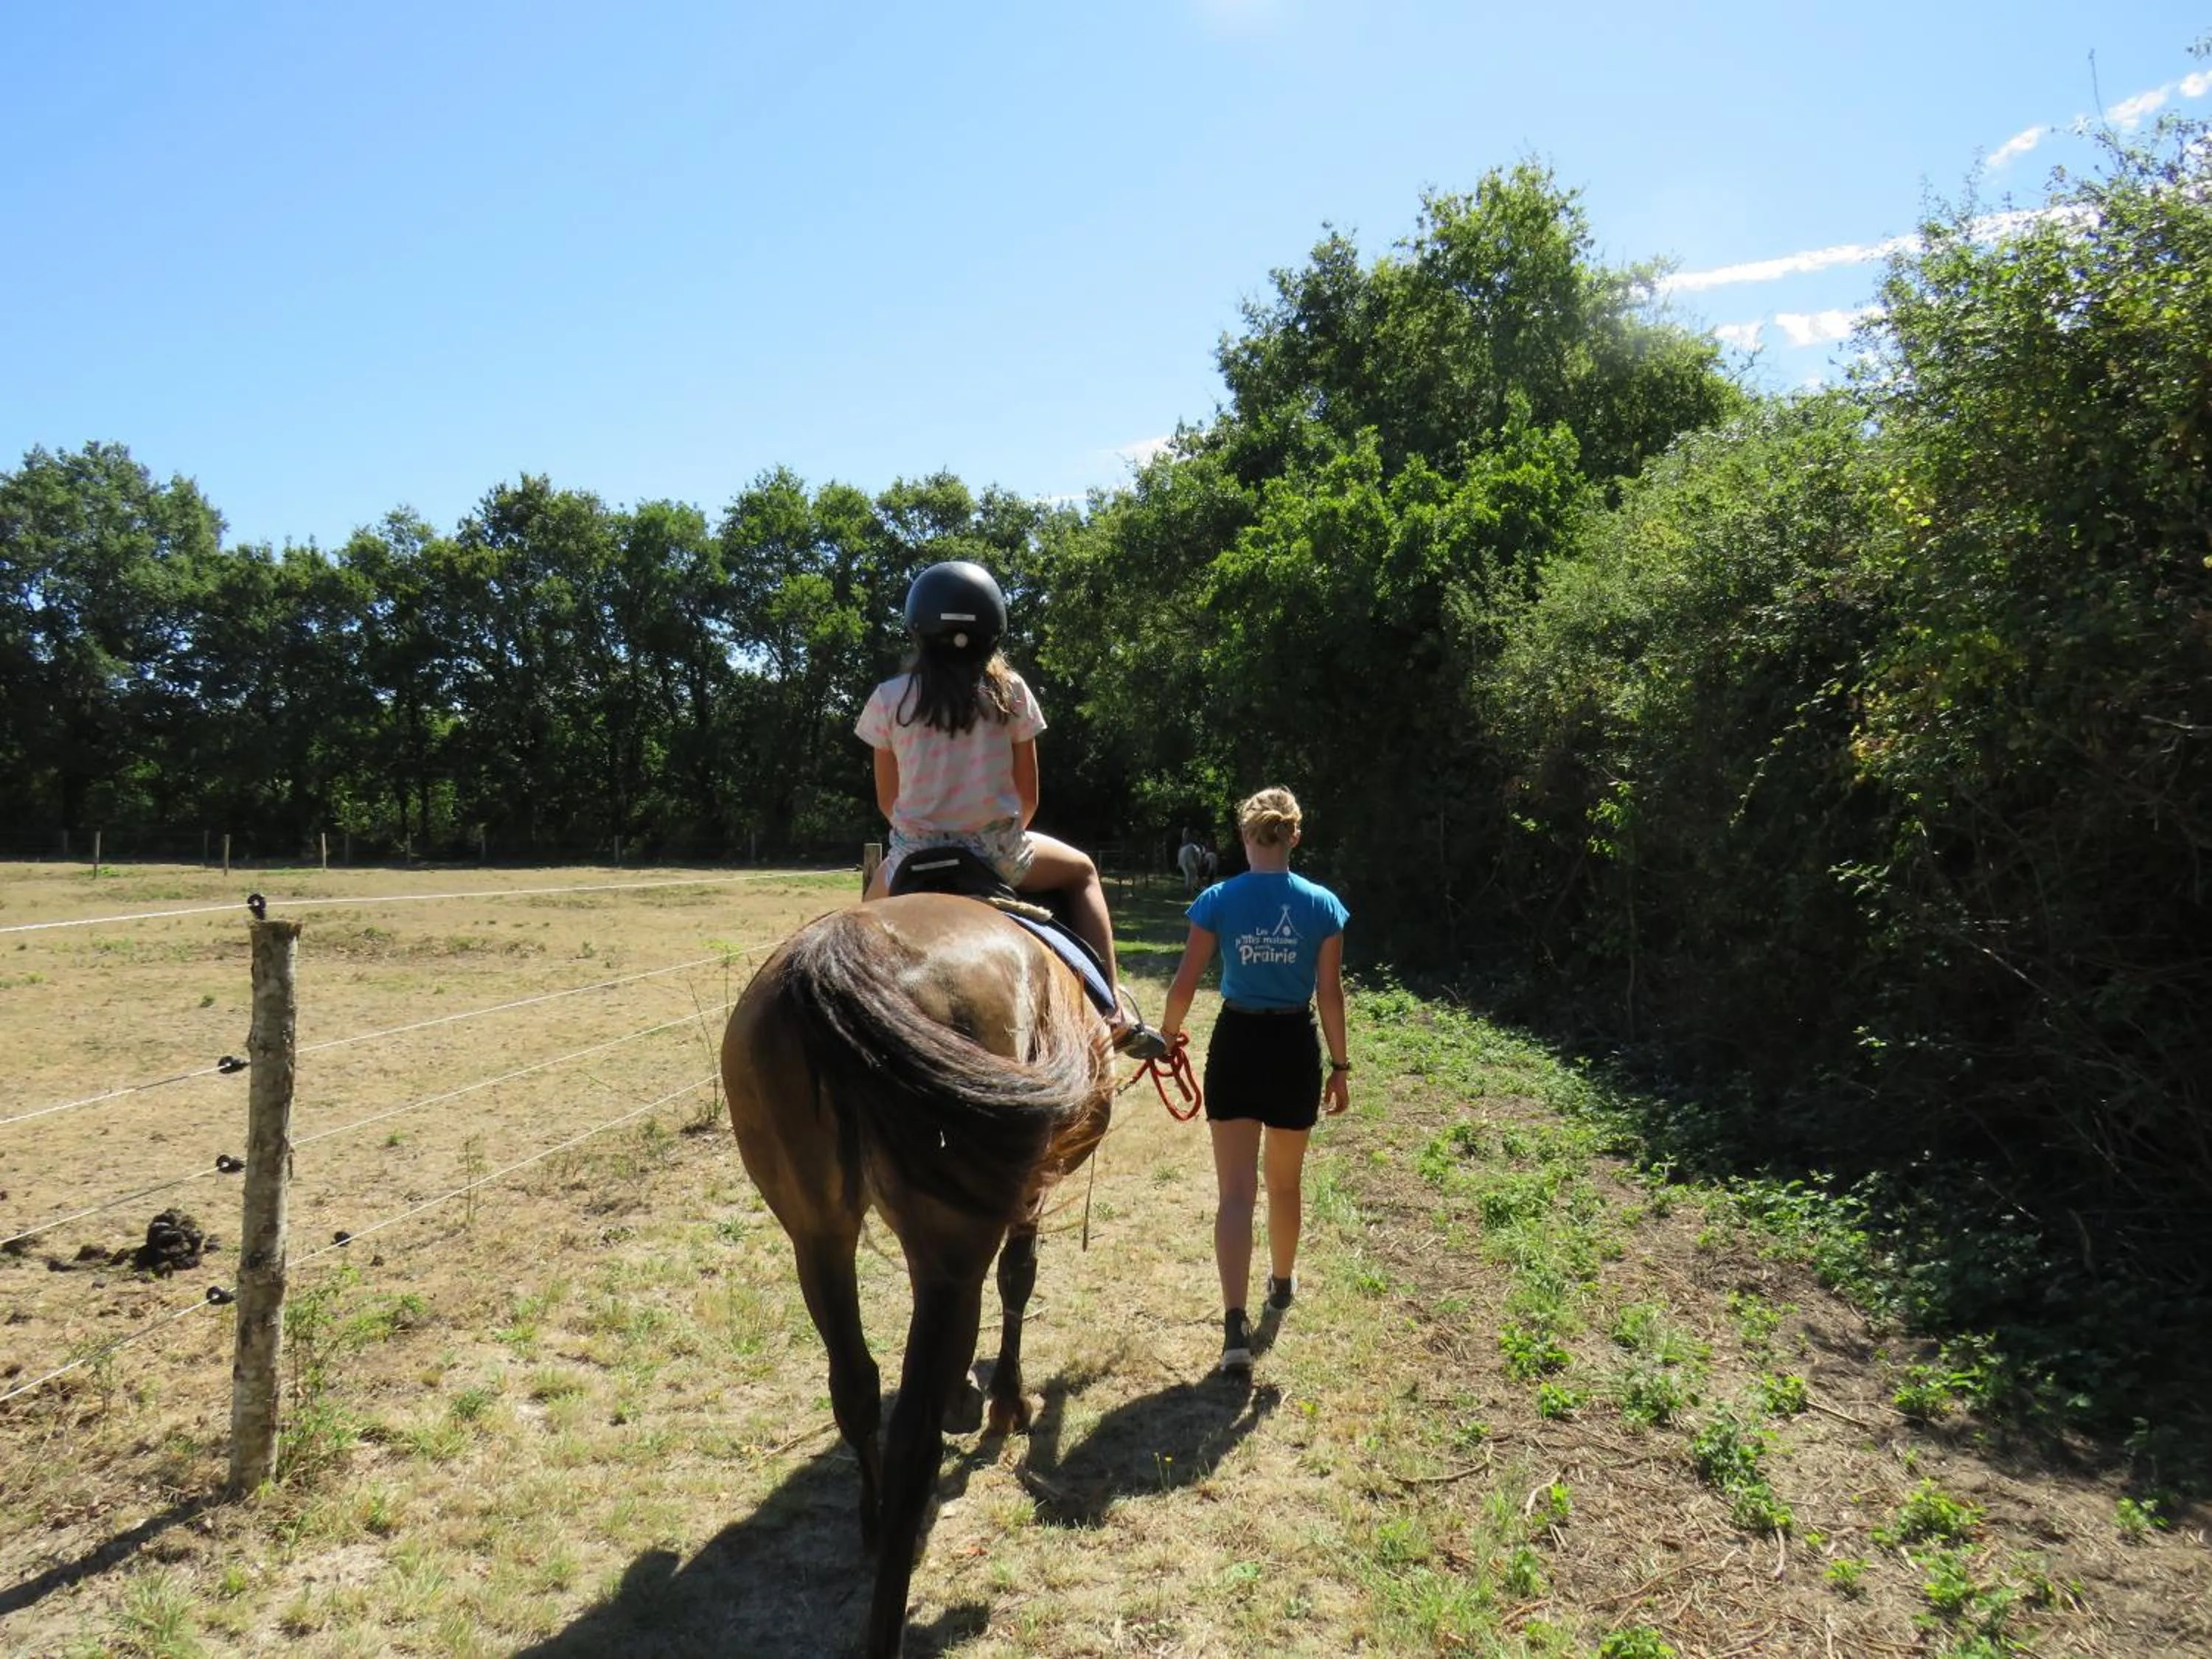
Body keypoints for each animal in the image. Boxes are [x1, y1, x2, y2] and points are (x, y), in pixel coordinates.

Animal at [720, 891, 1115, 1658]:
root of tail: (834, 958)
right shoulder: (1023, 1194)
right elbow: (1018, 1279)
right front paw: (1004, 1403)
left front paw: (972, 1395)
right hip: (948, 1242)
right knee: (913, 1438)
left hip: (817, 1234)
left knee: (856, 1388)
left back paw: (875, 1526)